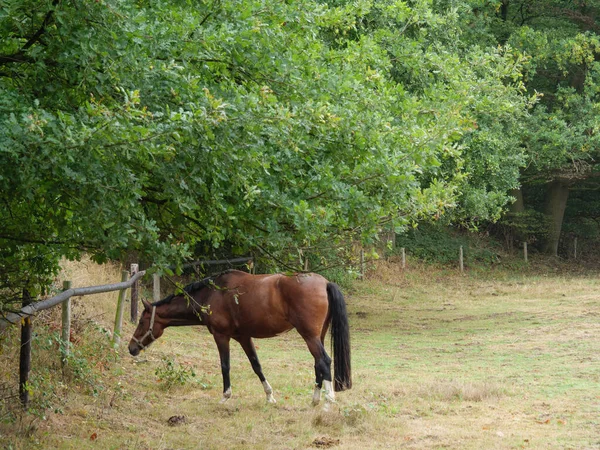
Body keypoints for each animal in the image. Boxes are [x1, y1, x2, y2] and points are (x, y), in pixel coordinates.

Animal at [127, 268, 352, 406]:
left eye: (142, 322)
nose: (131, 348)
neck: (211, 295)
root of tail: (325, 283)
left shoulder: (221, 336)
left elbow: (225, 366)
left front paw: (225, 396)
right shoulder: (244, 337)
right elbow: (256, 365)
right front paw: (270, 396)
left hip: (309, 336)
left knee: (324, 361)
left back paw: (328, 401)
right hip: (317, 335)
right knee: (318, 363)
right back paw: (315, 400)